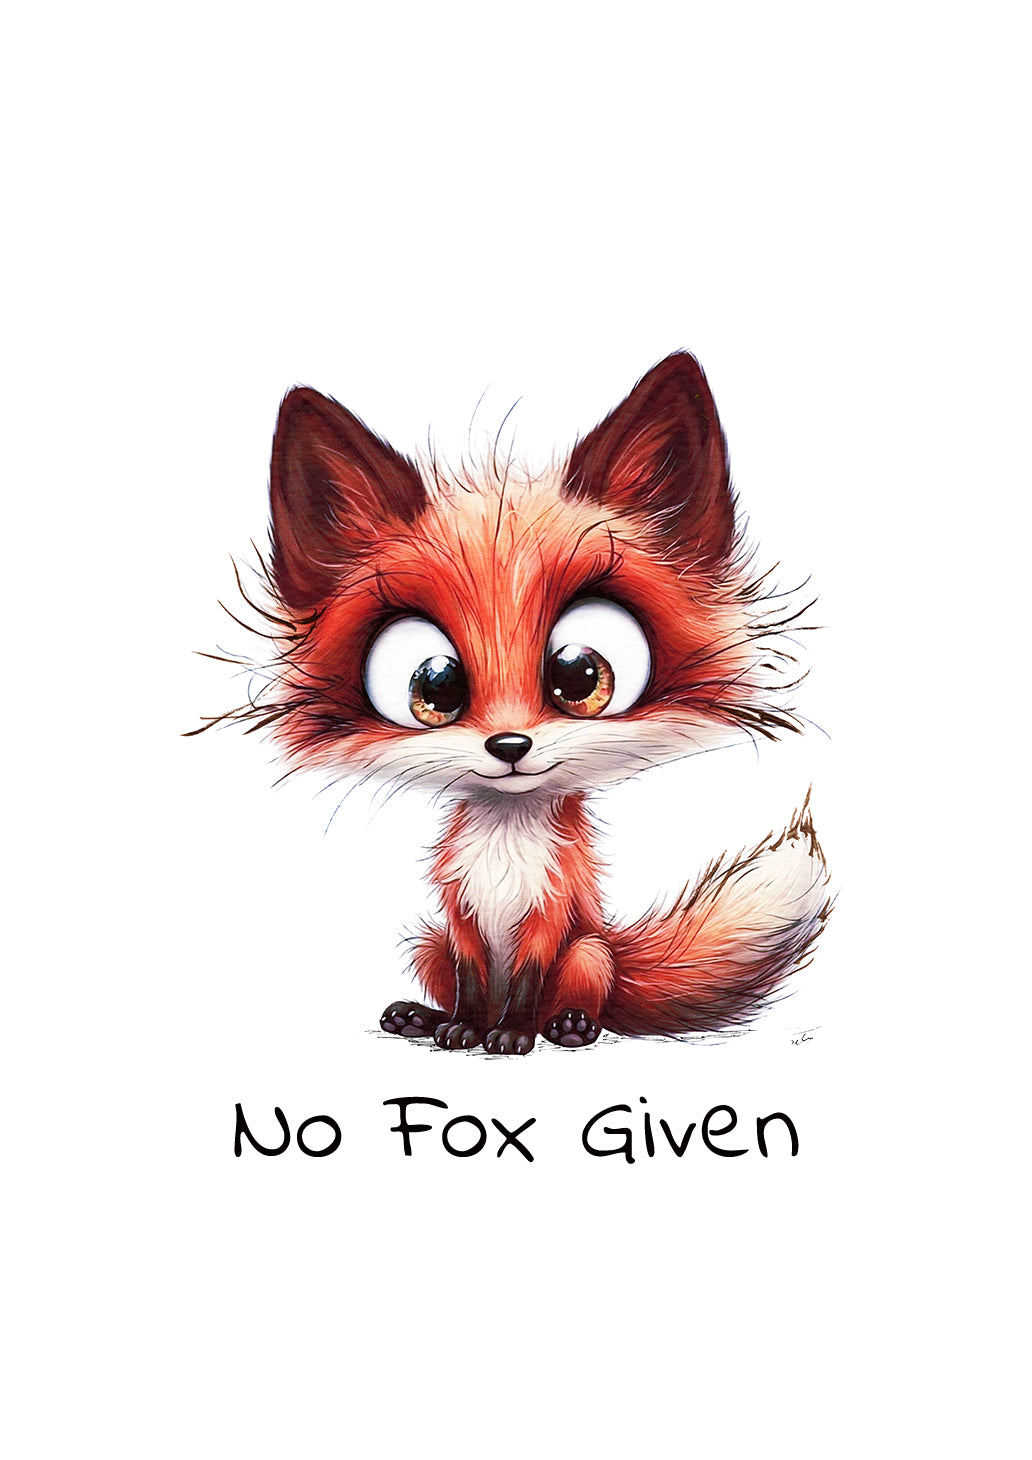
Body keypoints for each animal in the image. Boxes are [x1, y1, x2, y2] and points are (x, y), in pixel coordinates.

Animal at [201, 351, 830, 1054]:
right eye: (434, 685)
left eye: (579, 674)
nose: (509, 745)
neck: (505, 846)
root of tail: (618, 953)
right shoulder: (459, 915)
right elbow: (474, 983)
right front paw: (464, 1029)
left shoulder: (549, 914)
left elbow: (525, 980)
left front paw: (512, 1034)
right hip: (426, 944)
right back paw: (421, 1017)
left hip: (589, 953)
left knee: (585, 991)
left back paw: (571, 1026)